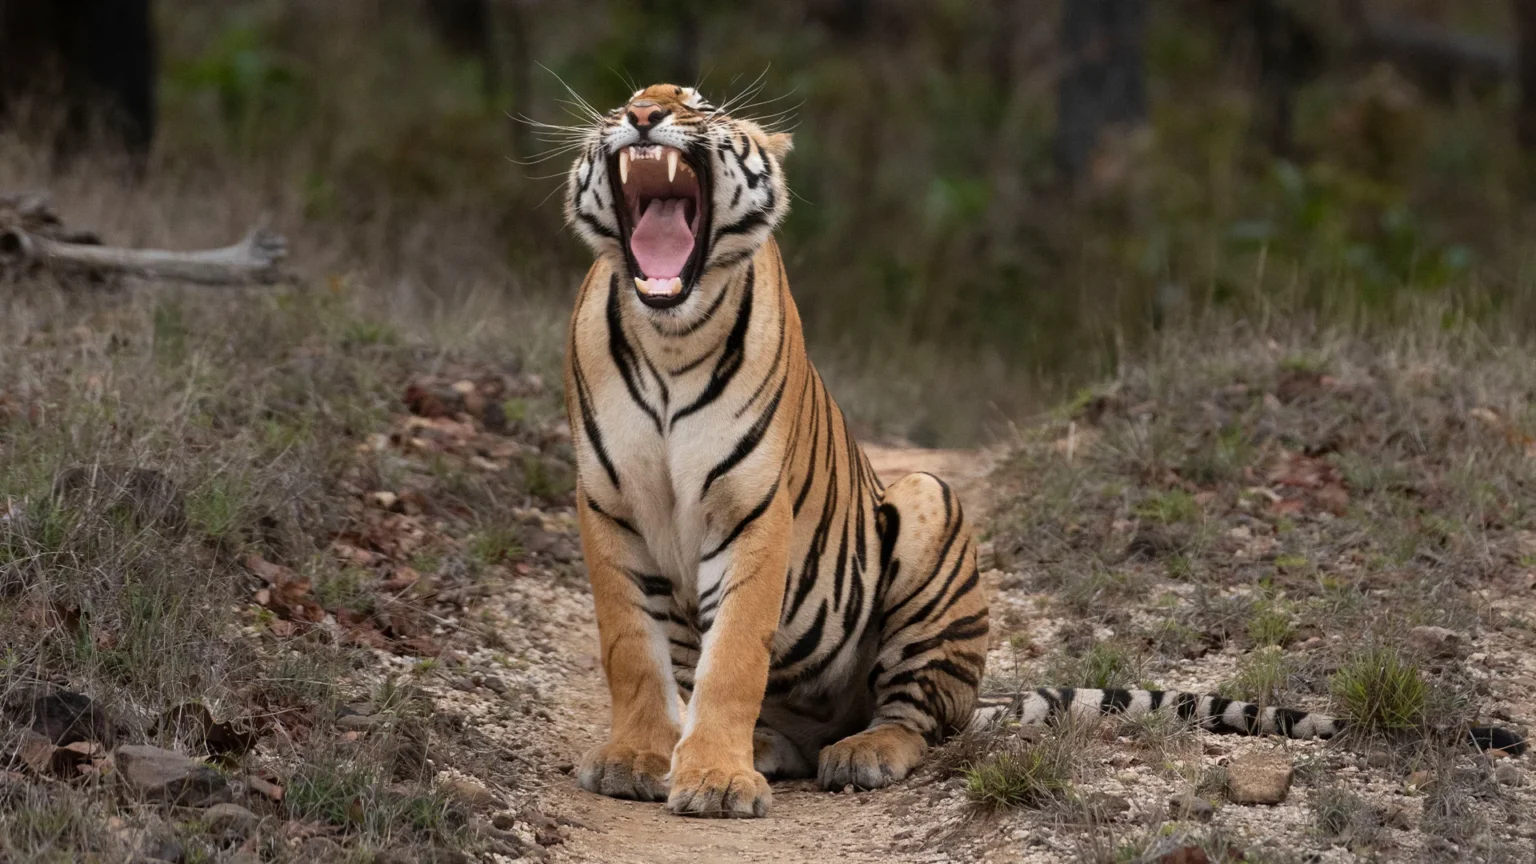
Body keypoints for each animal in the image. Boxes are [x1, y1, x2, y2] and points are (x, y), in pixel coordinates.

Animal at [560, 83, 1526, 819]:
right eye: (619, 104)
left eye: (700, 108)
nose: (643, 116)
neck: (671, 335)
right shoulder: (608, 508)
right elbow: (633, 652)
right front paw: (641, 760)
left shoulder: (754, 511)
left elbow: (732, 659)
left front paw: (715, 780)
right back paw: (763, 744)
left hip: (929, 510)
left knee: (917, 717)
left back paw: (857, 750)